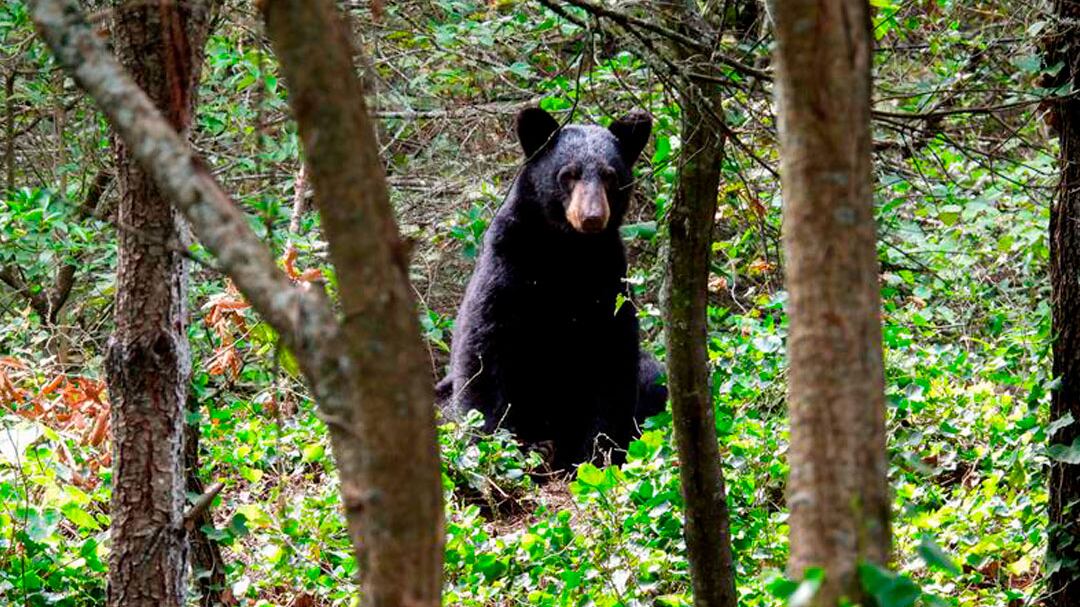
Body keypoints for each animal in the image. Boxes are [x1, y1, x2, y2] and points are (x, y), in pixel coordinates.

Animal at [439, 107, 667, 470]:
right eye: (568, 174)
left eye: (610, 176)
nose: (592, 217)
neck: (565, 251)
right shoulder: (508, 266)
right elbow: (483, 350)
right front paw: (494, 449)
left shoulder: (607, 281)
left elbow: (612, 361)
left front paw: (594, 455)